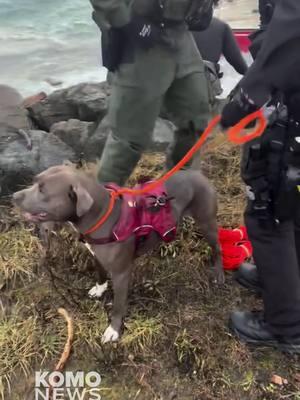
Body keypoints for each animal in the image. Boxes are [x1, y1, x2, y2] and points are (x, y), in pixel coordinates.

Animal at [12, 166, 224, 344]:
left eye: (42, 190)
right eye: (35, 181)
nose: (14, 196)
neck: (102, 216)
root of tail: (197, 173)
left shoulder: (122, 274)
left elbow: (118, 306)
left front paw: (113, 330)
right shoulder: (96, 255)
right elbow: (100, 274)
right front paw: (99, 289)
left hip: (207, 223)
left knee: (217, 248)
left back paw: (218, 274)